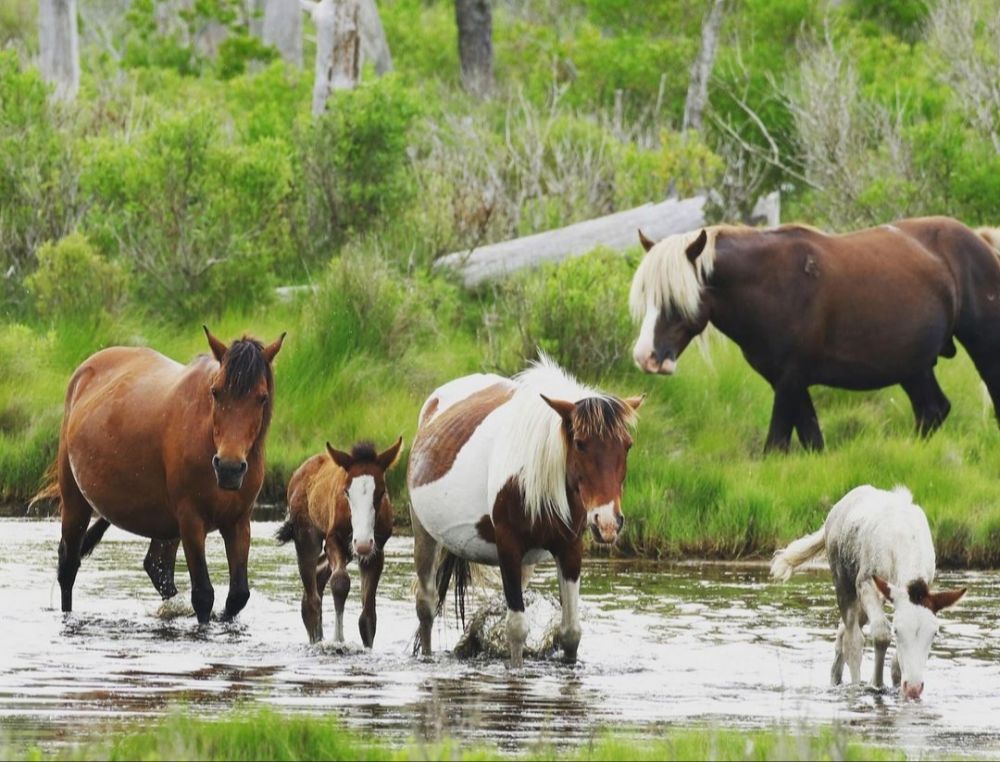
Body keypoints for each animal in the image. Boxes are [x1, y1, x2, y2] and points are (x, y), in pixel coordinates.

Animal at [278, 436, 402, 644]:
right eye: (346, 492)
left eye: (381, 492)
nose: (362, 542)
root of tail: (295, 475)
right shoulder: (333, 539)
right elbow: (340, 582)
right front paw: (338, 640)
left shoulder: (376, 550)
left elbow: (368, 618)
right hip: (307, 537)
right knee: (312, 598)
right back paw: (316, 639)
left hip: (349, 549)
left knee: (319, 575)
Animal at [404, 356, 640, 664]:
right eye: (580, 444)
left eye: (627, 446)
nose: (608, 523)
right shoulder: (509, 547)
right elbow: (516, 630)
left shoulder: (569, 548)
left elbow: (571, 632)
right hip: (424, 534)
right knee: (426, 606)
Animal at [628, 215, 1000, 452]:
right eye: (647, 295)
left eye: (675, 298)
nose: (646, 357)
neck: (772, 284)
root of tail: (982, 242)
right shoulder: (788, 381)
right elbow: (812, 442)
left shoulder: (790, 380)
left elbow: (776, 446)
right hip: (913, 365)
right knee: (932, 410)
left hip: (983, 351)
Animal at [768, 484, 964, 696]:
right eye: (897, 631)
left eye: (934, 633)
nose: (913, 688)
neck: (906, 541)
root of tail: (833, 511)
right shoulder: (866, 582)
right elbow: (880, 633)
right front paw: (875, 684)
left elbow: (896, 662)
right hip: (844, 584)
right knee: (852, 639)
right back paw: (854, 684)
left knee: (841, 633)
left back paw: (836, 678)